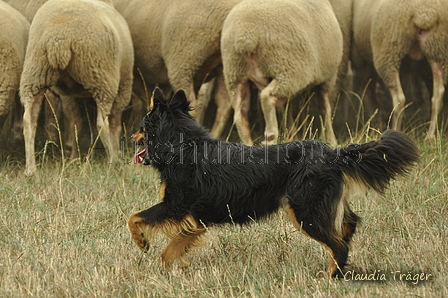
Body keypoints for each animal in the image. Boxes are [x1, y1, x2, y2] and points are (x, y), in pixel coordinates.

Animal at [19, 0, 133, 175]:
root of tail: (59, 37)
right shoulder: (123, 88)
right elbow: (116, 125)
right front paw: (118, 154)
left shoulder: (68, 92)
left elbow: (75, 122)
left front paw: (73, 157)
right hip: (102, 78)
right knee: (102, 123)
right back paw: (112, 162)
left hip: (35, 73)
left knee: (29, 121)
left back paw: (31, 170)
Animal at [221, 0, 344, 146]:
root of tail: (246, 35)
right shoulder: (328, 78)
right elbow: (325, 109)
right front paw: (332, 141)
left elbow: (288, 109)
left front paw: (291, 133)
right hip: (287, 70)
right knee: (266, 97)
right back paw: (270, 137)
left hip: (235, 74)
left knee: (240, 115)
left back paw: (249, 144)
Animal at [352, 0, 448, 139]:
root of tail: (424, 14)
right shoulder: (406, 67)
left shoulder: (360, 60)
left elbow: (366, 91)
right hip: (436, 48)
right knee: (437, 96)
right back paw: (430, 136)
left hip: (389, 50)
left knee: (399, 99)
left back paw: (394, 130)